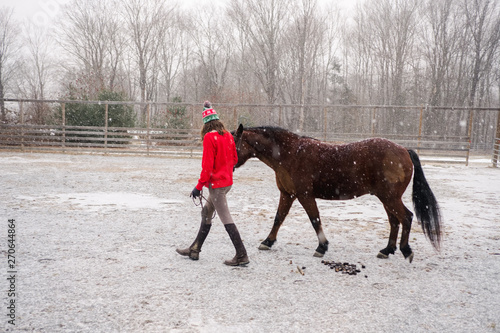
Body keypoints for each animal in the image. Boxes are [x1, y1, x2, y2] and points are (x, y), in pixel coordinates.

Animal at [232, 124, 444, 262]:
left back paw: (405, 250)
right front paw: (267, 242)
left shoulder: (304, 195)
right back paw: (387, 250)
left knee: (406, 217)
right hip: (386, 198)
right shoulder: (287, 194)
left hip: (390, 198)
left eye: (232, 145)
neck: (290, 154)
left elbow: (315, 219)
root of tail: (404, 150)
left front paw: (322, 247)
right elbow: (279, 218)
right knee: (395, 221)